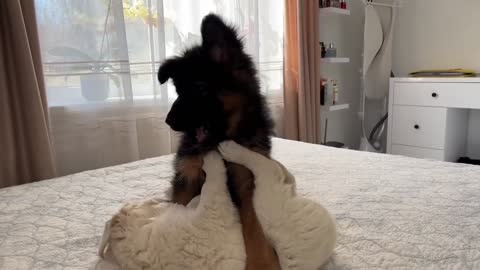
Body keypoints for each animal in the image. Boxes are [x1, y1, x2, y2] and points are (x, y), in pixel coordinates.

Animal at [158, 13, 278, 268]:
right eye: (178, 91)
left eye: (200, 89)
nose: (168, 121)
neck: (221, 142)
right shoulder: (187, 175)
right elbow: (179, 204)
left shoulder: (245, 179)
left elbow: (253, 222)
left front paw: (262, 260)